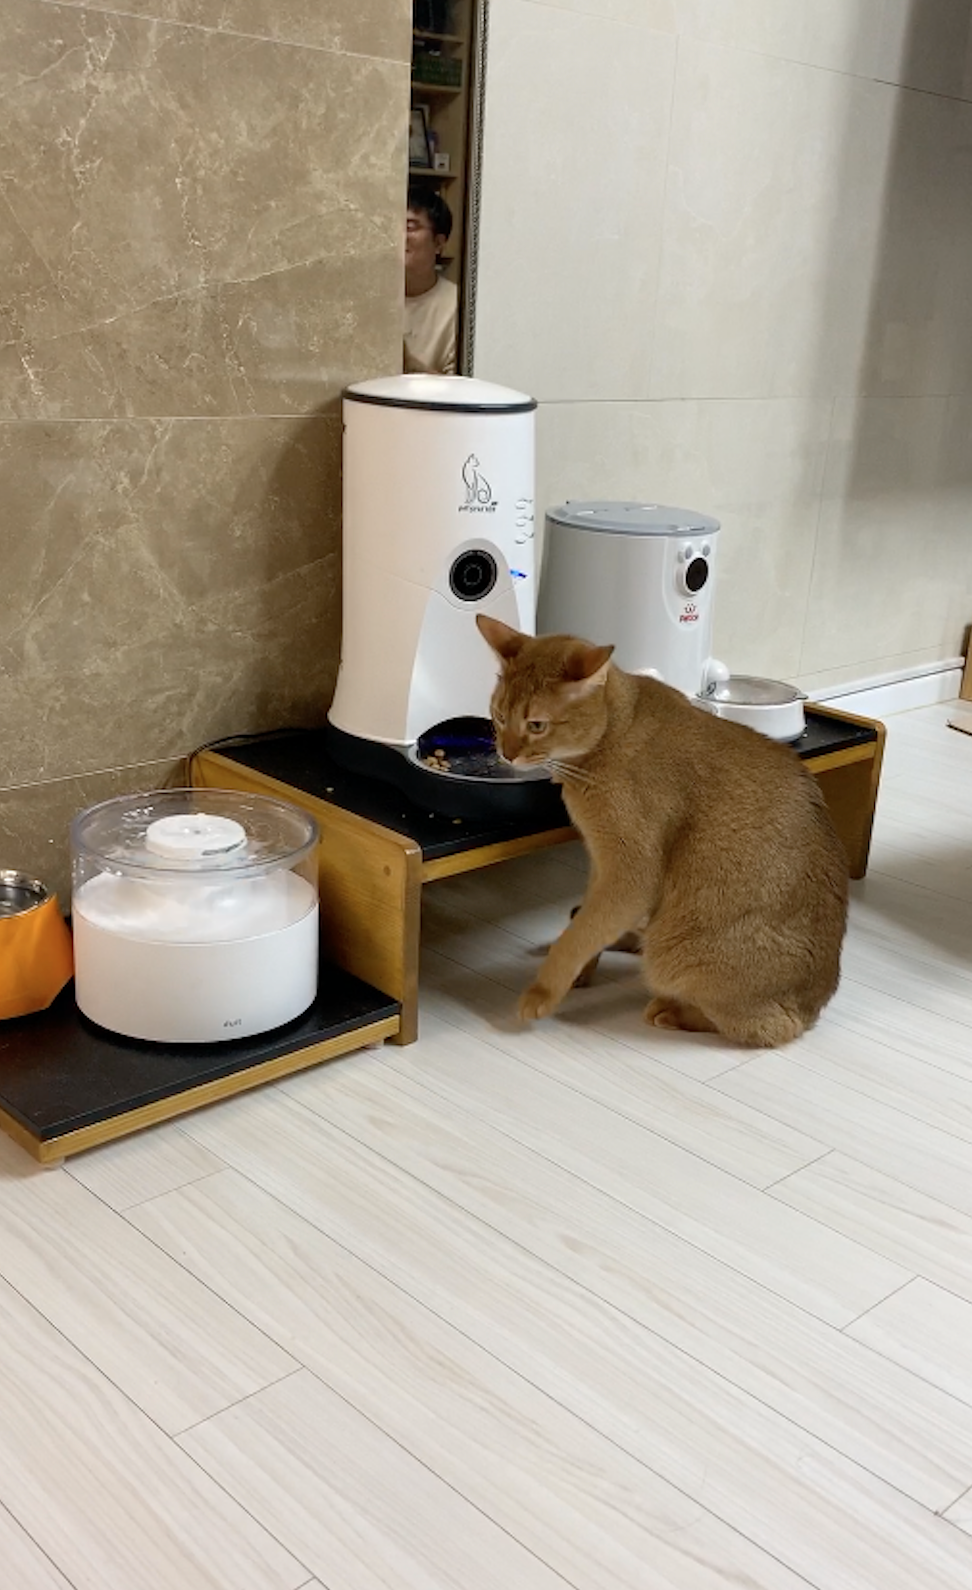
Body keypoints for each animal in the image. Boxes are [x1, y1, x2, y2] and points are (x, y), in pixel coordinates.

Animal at [477, 616, 848, 1046]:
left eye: (537, 725)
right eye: (499, 716)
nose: (506, 752)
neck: (614, 733)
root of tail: (812, 1008)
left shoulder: (631, 873)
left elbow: (579, 935)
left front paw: (543, 993)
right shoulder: (601, 862)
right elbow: (590, 921)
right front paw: (582, 971)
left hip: (678, 956)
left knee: (763, 1028)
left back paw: (671, 1010)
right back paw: (628, 940)